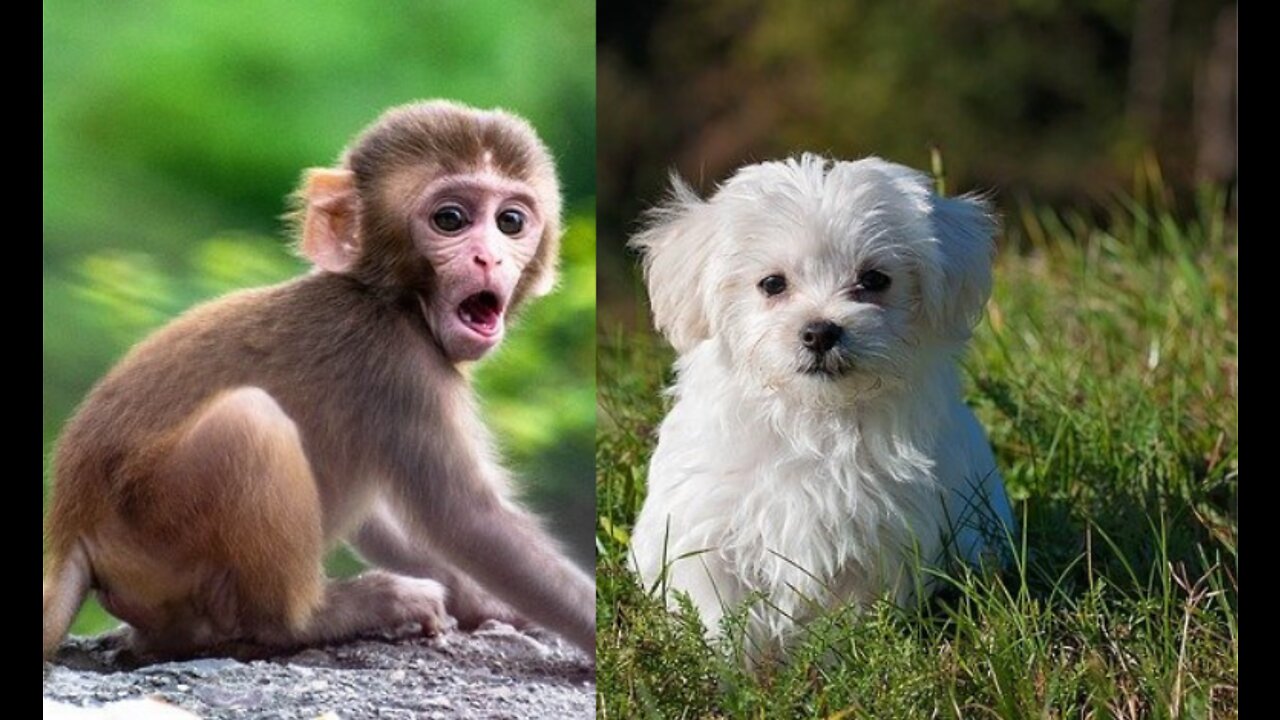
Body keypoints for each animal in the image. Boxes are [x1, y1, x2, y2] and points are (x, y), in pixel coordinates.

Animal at [42, 101, 593, 661]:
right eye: (450, 219)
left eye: (510, 222)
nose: (489, 257)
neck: (387, 298)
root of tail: (73, 529)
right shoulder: (399, 364)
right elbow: (468, 519)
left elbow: (385, 520)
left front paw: (482, 603)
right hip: (155, 524)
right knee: (250, 422)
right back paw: (321, 617)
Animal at [627, 154, 1008, 661]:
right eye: (772, 284)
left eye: (874, 280)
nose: (820, 331)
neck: (812, 418)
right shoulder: (706, 532)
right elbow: (719, 613)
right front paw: (729, 671)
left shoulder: (874, 544)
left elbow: (845, 618)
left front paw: (832, 665)